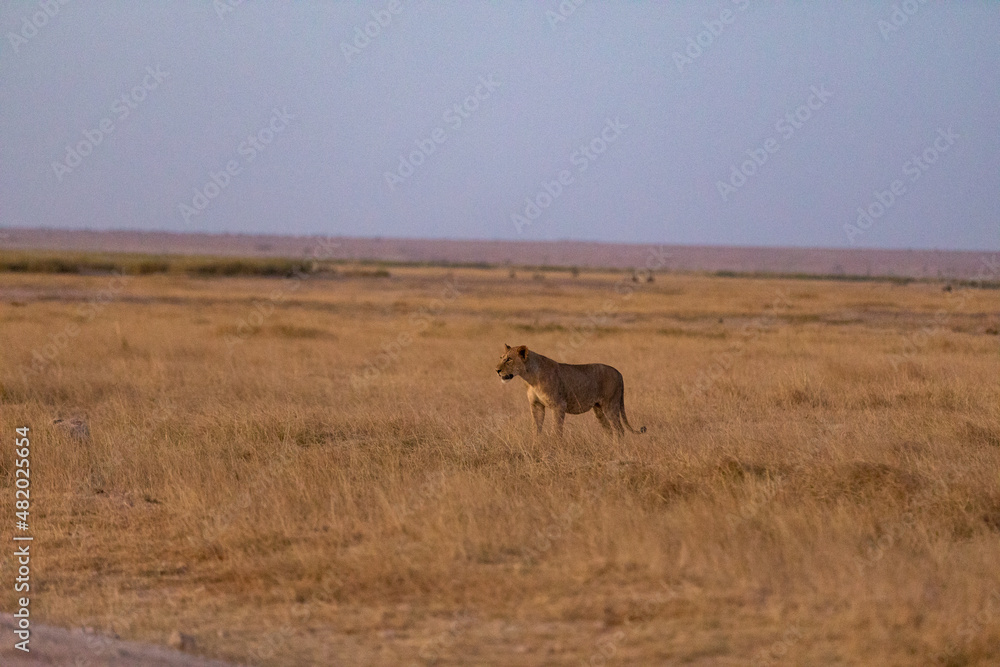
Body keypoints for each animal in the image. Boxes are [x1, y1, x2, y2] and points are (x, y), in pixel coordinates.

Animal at [495, 344, 646, 438]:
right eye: (501, 358)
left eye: (509, 359)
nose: (496, 370)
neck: (530, 378)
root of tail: (618, 372)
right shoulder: (536, 405)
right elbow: (536, 429)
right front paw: (535, 446)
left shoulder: (559, 405)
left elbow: (556, 431)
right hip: (598, 409)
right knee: (609, 430)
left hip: (611, 405)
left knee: (619, 430)